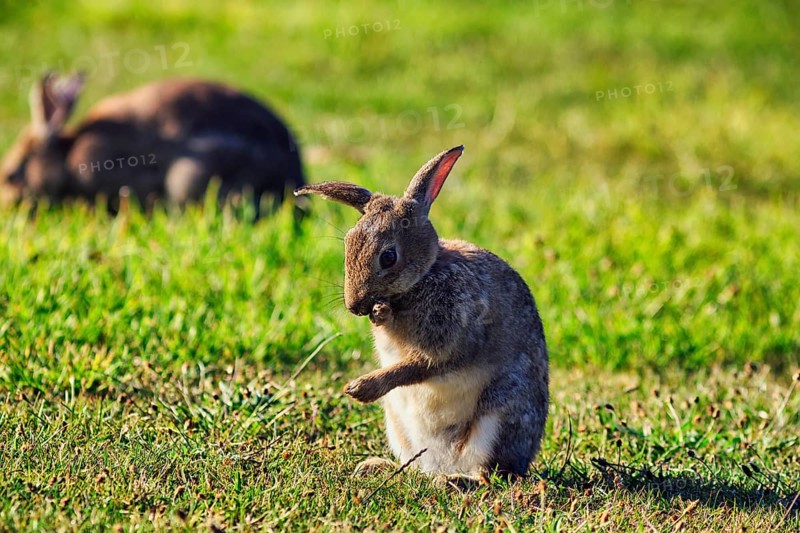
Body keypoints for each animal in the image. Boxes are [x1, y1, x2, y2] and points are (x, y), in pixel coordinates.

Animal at [295, 146, 549, 477]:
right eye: (348, 245)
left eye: (388, 257)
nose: (355, 306)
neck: (421, 279)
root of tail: (444, 464)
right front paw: (380, 316)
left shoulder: (452, 336)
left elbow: (419, 365)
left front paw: (360, 388)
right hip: (398, 426)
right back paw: (377, 467)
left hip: (500, 413)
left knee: (489, 472)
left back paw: (454, 481)